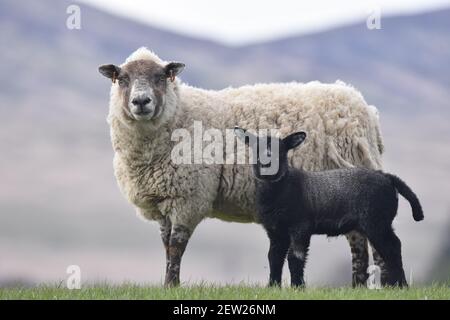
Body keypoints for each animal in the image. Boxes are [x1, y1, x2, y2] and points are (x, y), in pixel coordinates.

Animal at [100, 47, 384, 284]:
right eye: (121, 79)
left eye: (161, 77)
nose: (141, 101)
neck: (180, 114)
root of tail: (361, 103)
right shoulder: (163, 201)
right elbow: (166, 246)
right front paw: (168, 284)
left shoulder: (188, 198)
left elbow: (176, 245)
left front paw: (172, 285)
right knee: (359, 239)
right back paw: (358, 286)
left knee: (368, 240)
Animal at [234, 127, 424, 288]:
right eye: (255, 148)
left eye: (281, 150)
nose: (267, 162)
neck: (281, 188)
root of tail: (388, 178)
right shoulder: (275, 231)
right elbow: (274, 258)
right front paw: (273, 286)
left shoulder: (300, 226)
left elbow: (295, 257)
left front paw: (298, 287)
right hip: (379, 222)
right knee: (391, 248)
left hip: (377, 220)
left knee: (392, 248)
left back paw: (401, 285)